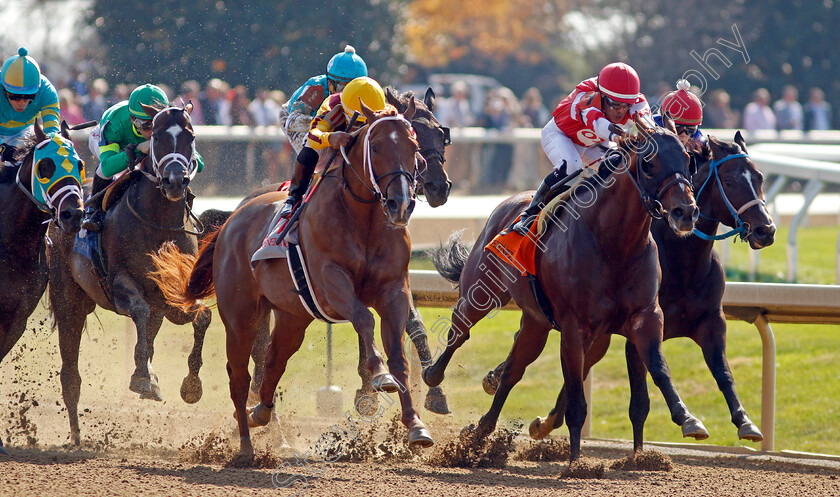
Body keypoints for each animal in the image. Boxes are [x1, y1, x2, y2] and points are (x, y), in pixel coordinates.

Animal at [47, 104, 212, 446]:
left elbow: (202, 316)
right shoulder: (120, 285)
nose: (175, 181)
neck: (158, 221)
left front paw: (191, 385)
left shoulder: (174, 295)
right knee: (70, 373)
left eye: (190, 136)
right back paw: (76, 436)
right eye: (158, 136)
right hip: (69, 301)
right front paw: (141, 378)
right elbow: (139, 310)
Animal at [152, 102, 436, 456]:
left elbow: (399, 353)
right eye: (377, 147)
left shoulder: (394, 290)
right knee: (240, 376)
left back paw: (260, 413)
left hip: (292, 317)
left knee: (273, 363)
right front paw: (380, 375)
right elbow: (364, 318)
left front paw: (416, 425)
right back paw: (246, 445)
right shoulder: (331, 281)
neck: (364, 219)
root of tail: (230, 222)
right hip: (241, 316)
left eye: (414, 148)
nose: (401, 204)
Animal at [424, 116, 704, 462]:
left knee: (513, 371)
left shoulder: (646, 317)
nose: (685, 212)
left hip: (536, 322)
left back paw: (479, 433)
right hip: (481, 291)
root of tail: (507, 203)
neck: (615, 245)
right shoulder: (574, 328)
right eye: (649, 164)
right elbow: (576, 401)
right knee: (459, 331)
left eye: (688, 161)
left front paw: (686, 419)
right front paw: (575, 462)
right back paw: (434, 381)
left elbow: (659, 369)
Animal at [524, 131, 780, 446]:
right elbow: (650, 385)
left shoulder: (711, 321)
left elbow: (723, 371)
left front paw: (745, 421)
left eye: (759, 177)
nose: (766, 230)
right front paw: (687, 420)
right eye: (730, 181)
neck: (683, 262)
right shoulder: (641, 331)